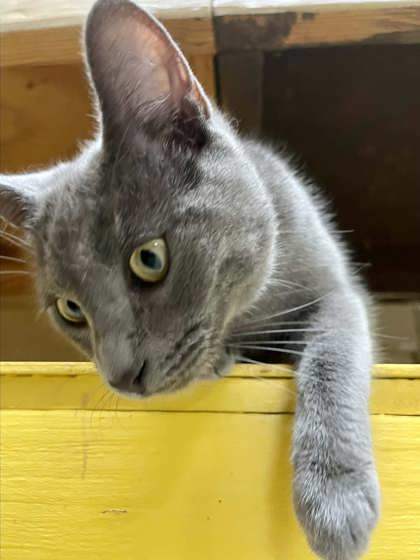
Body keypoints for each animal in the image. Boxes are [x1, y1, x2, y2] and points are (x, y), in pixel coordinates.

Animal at [0, 1, 380, 560]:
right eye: (70, 310)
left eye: (149, 259)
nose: (121, 376)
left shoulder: (336, 291)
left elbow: (334, 354)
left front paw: (336, 500)